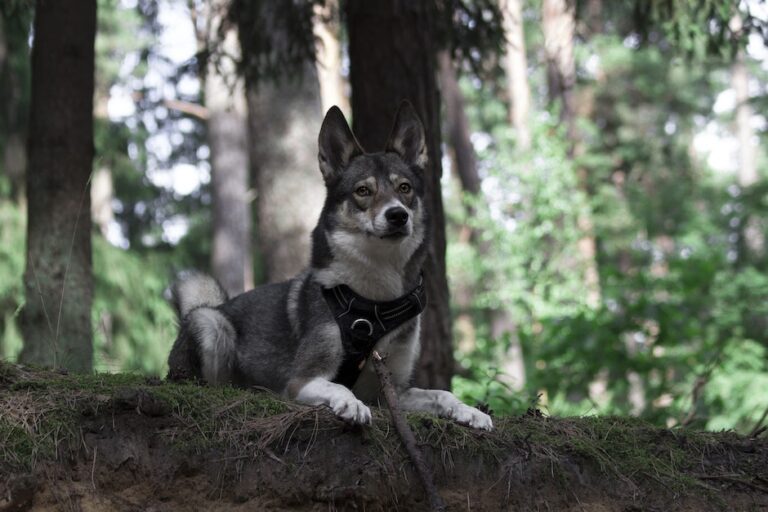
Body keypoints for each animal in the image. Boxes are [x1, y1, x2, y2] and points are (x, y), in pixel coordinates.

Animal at [166, 102, 496, 430]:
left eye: (404, 188)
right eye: (363, 191)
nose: (397, 215)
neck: (375, 303)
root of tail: (211, 306)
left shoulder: (392, 391)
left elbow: (441, 393)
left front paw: (469, 411)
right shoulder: (302, 380)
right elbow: (337, 386)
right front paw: (351, 403)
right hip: (210, 323)